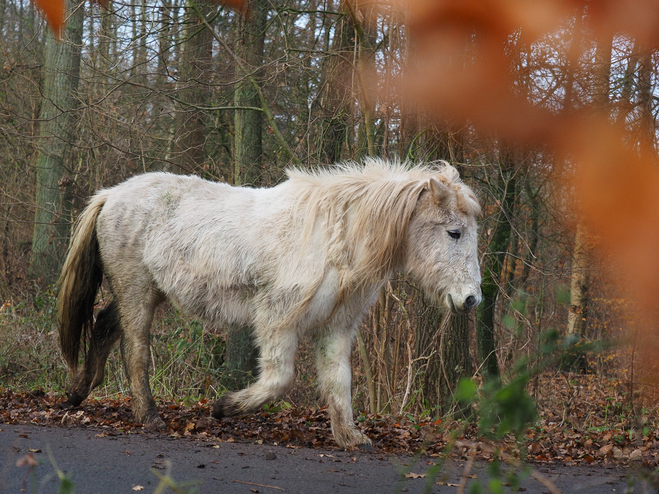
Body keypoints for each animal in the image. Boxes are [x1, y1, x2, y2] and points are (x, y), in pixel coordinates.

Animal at [56, 158, 482, 448]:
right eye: (454, 232)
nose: (471, 299)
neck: (334, 235)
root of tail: (111, 195)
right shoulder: (278, 319)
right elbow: (279, 380)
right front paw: (225, 407)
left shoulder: (336, 327)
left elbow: (338, 381)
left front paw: (349, 436)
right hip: (137, 290)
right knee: (135, 350)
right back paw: (148, 415)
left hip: (145, 291)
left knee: (105, 327)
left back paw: (78, 393)